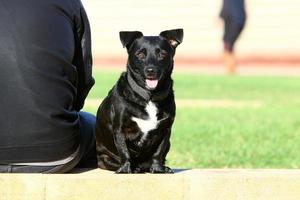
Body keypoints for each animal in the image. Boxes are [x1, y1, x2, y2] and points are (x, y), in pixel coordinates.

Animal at [95, 28, 183, 173]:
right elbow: (123, 151)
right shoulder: (120, 129)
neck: (149, 97)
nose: (151, 70)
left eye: (162, 54)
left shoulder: (165, 130)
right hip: (104, 157)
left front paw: (158, 169)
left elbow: (158, 152)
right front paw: (125, 169)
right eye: (140, 54)